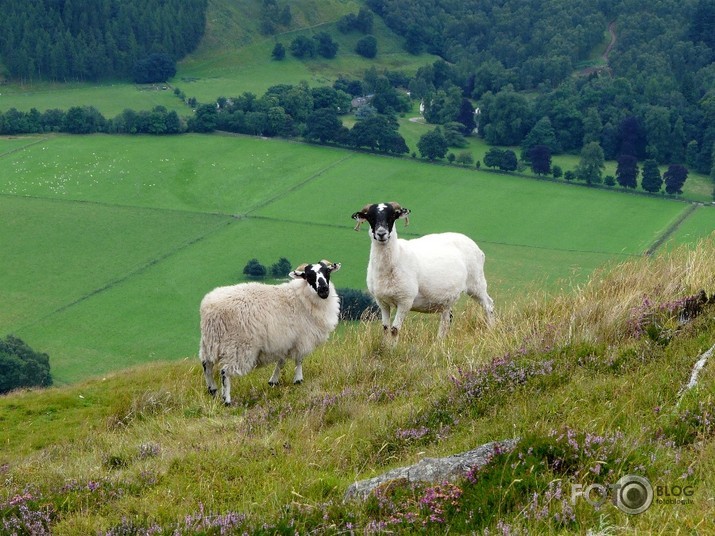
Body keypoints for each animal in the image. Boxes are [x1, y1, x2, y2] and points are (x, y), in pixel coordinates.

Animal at [196, 260, 342, 406]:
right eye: (309, 276)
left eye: (327, 272)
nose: (324, 289)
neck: (302, 297)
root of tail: (211, 309)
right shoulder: (302, 339)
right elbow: (299, 360)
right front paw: (298, 379)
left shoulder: (285, 341)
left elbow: (281, 362)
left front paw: (273, 381)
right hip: (238, 346)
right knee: (224, 372)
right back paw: (226, 400)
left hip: (209, 343)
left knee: (206, 365)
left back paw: (212, 390)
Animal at [352, 201, 492, 344]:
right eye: (370, 217)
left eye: (392, 216)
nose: (381, 233)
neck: (397, 256)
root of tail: (474, 245)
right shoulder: (382, 302)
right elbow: (385, 328)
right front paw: (385, 347)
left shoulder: (405, 301)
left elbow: (394, 330)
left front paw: (393, 348)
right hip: (448, 297)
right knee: (446, 319)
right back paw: (439, 343)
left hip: (476, 283)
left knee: (488, 305)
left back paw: (491, 329)